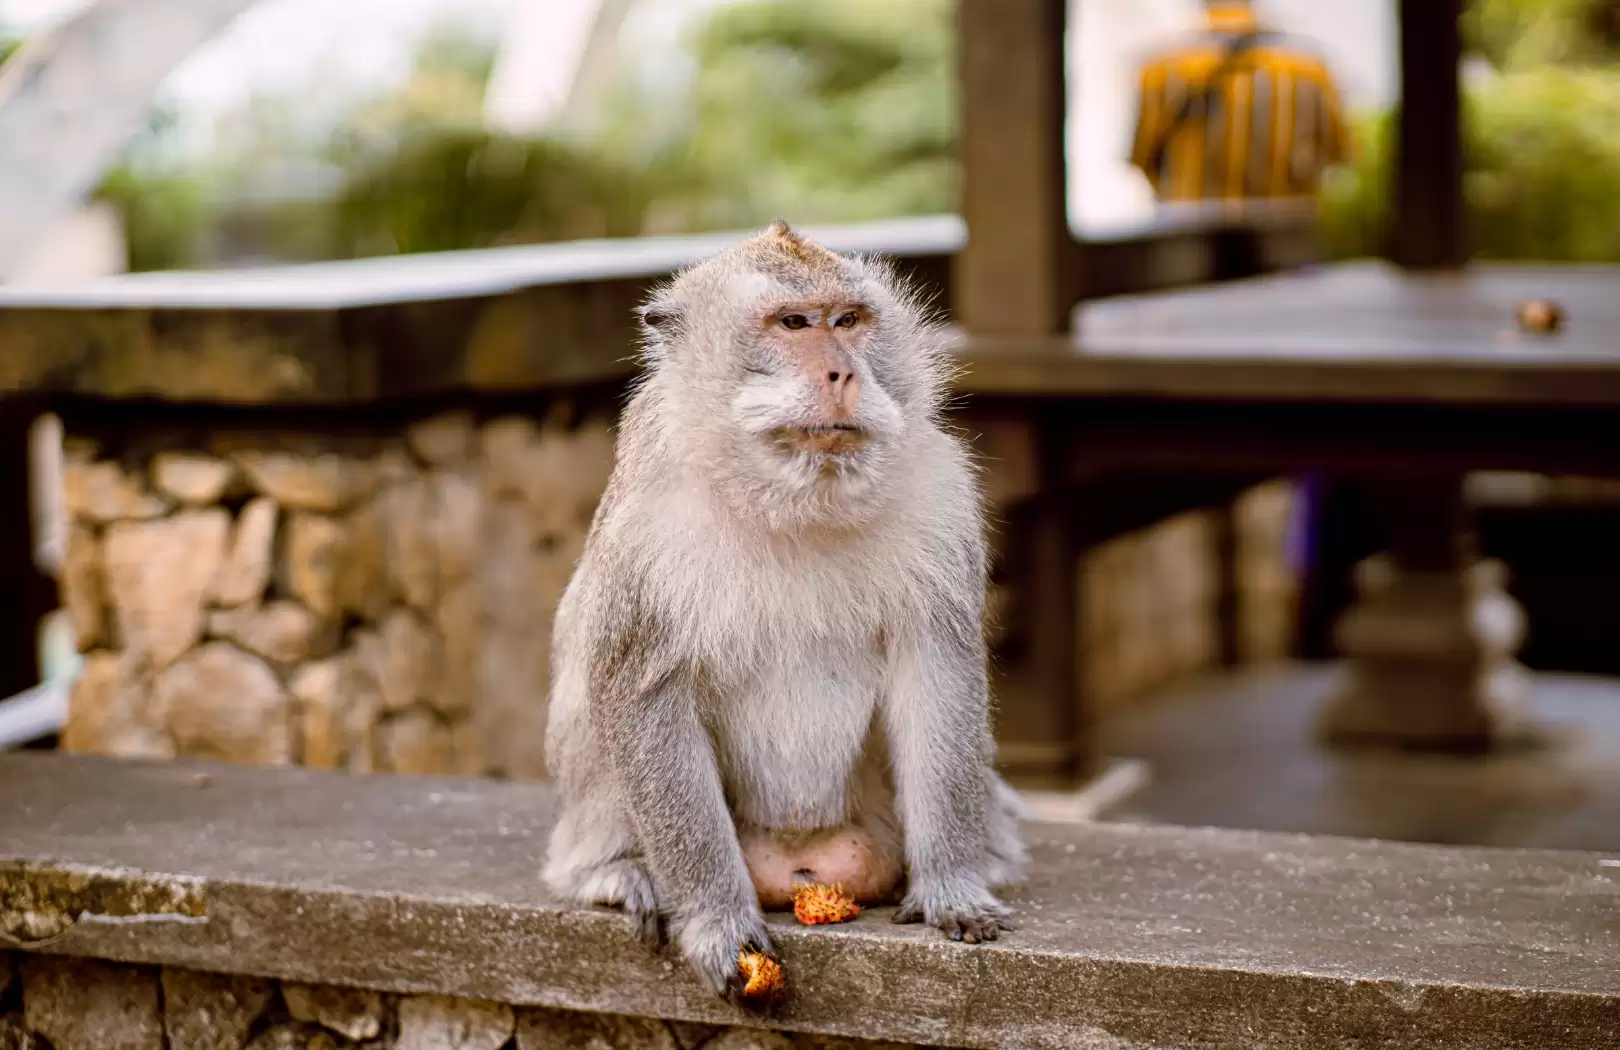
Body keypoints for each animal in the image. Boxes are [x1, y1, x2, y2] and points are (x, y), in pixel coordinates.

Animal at [541, 219, 1028, 1007]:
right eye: (793, 325)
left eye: (848, 321)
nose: (843, 373)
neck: (790, 499)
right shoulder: (646, 529)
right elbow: (639, 692)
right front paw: (716, 920)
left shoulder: (939, 491)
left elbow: (937, 674)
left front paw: (952, 882)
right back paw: (612, 871)